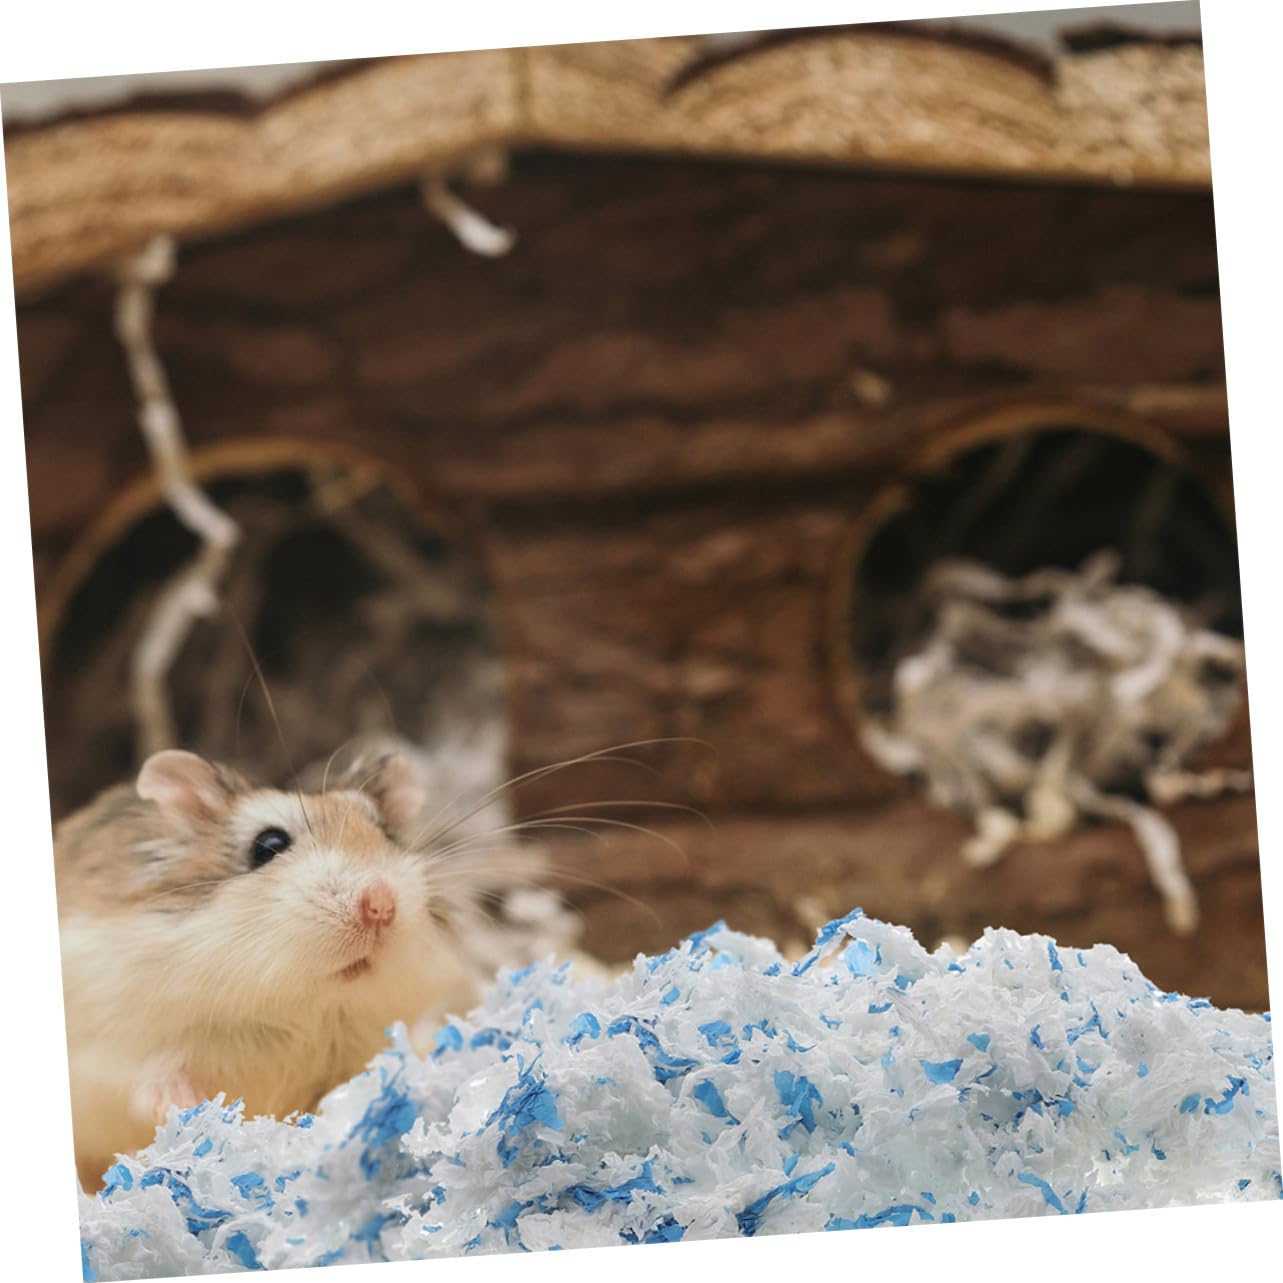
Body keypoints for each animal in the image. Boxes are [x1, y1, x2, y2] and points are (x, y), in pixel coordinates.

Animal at [53, 747, 482, 1190]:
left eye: (387, 834)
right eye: (269, 845)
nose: (380, 904)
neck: (299, 1009)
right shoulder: (108, 1054)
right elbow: (149, 1082)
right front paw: (199, 1110)